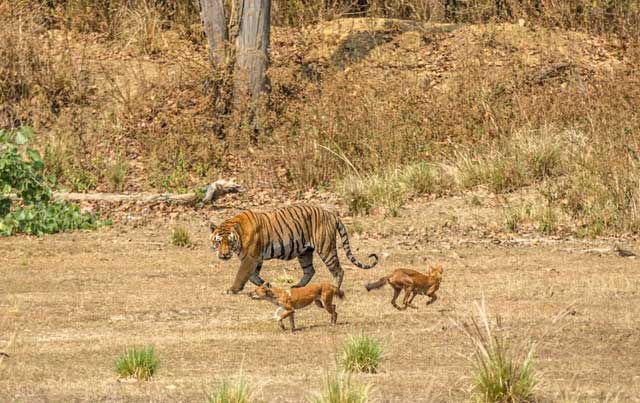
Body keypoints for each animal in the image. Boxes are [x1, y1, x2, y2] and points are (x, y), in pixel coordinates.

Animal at [209, 204, 379, 294]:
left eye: (229, 242)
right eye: (219, 242)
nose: (224, 255)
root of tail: (330, 213)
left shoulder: (250, 258)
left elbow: (242, 274)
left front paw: (232, 289)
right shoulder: (256, 259)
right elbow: (253, 276)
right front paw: (265, 284)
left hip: (326, 248)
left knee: (338, 270)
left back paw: (335, 289)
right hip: (305, 252)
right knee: (310, 270)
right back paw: (297, 287)